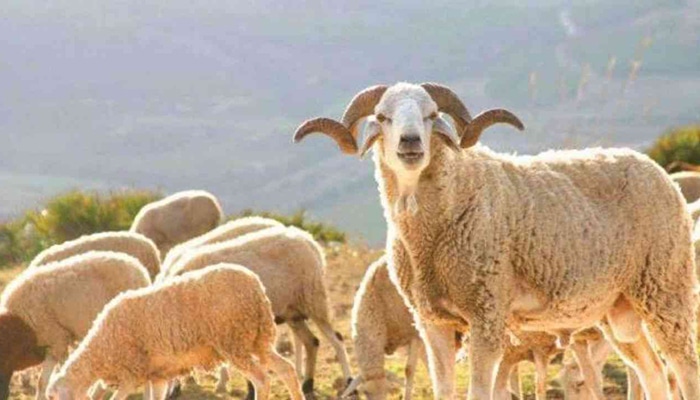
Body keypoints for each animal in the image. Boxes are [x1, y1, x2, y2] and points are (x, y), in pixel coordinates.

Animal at [0, 251, 150, 400]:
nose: (4, 394)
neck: (20, 323)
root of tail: (138, 268)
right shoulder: (52, 343)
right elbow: (42, 382)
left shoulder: (57, 339)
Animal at [45, 263, 304, 400]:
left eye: (52, 397)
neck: (100, 351)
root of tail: (255, 289)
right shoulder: (158, 375)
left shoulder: (131, 374)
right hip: (257, 340)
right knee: (286, 369)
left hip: (233, 342)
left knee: (262, 379)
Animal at [161, 225, 351, 396]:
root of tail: (308, 238)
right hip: (293, 312)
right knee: (312, 342)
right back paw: (307, 385)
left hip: (314, 299)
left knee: (337, 339)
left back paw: (348, 383)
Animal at [293, 82, 700, 399]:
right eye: (381, 117)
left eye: (431, 114)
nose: (410, 142)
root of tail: (658, 172)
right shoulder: (432, 323)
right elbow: (444, 390)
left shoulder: (486, 314)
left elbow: (478, 391)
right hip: (619, 310)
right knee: (654, 373)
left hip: (665, 288)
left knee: (685, 370)